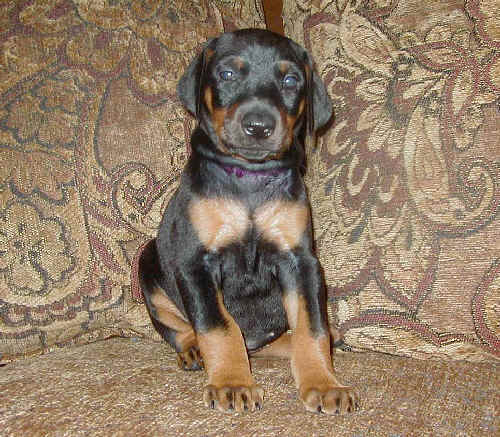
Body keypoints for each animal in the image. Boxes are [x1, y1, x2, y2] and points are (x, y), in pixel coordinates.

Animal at [139, 29, 358, 412]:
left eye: (290, 80)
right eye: (227, 74)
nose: (258, 126)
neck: (250, 179)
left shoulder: (299, 261)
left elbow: (312, 326)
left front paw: (323, 383)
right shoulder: (195, 263)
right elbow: (218, 326)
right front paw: (231, 383)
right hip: (149, 262)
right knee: (180, 326)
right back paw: (193, 349)